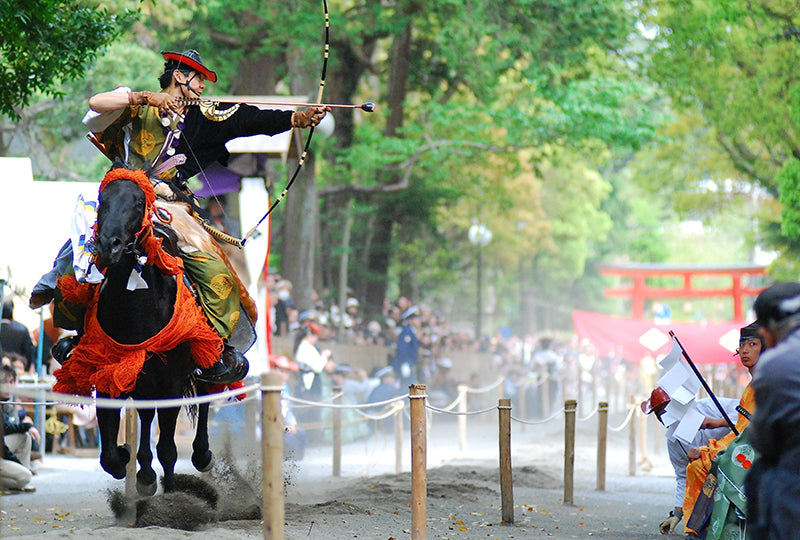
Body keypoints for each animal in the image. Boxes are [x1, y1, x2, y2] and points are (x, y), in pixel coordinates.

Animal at [90, 167, 216, 496]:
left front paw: (172, 495)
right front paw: (125, 458)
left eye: (137, 203)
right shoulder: (113, 374)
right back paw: (145, 473)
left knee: (207, 395)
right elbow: (109, 455)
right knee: (147, 417)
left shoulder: (172, 381)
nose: (109, 246)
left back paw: (201, 455)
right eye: (102, 199)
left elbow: (168, 449)